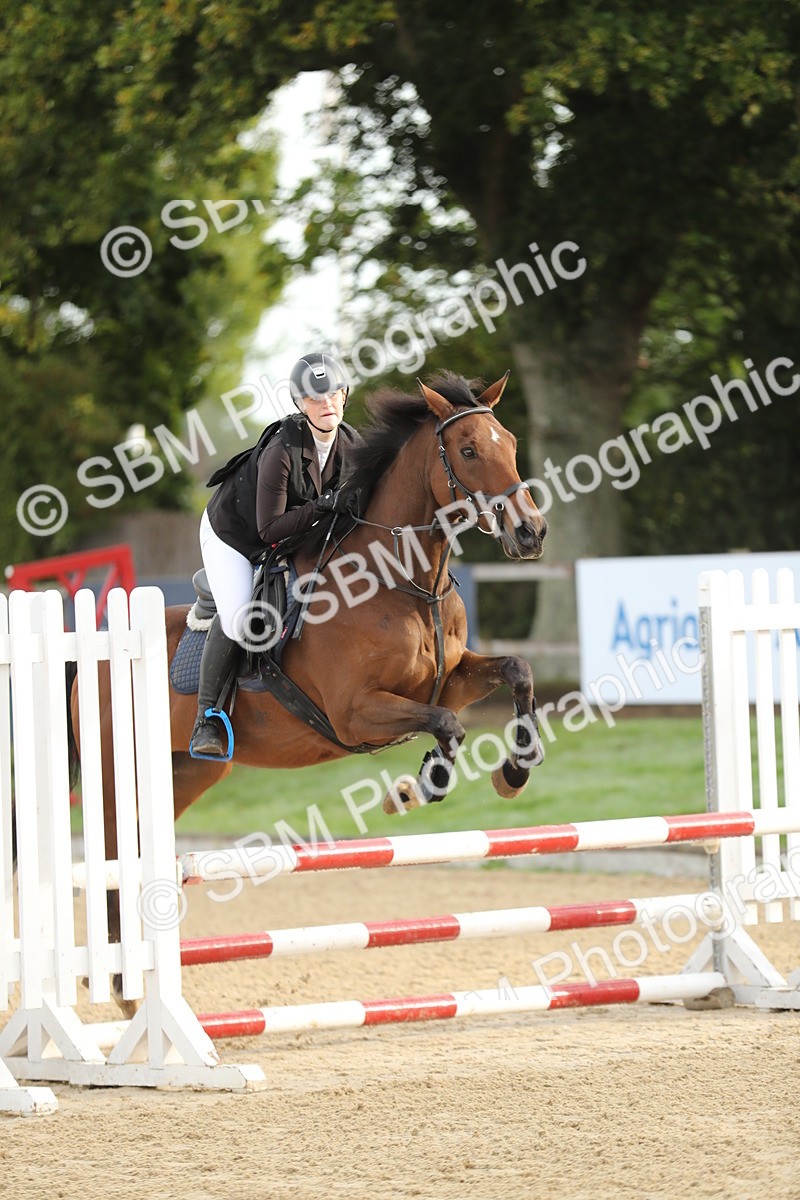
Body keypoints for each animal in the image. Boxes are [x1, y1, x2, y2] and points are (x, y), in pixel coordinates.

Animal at [68, 369, 548, 1013]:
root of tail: (92, 654)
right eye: (469, 451)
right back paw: (126, 993)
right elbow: (448, 728)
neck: (401, 579)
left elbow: (515, 671)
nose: (530, 532)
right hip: (118, 781)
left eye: (512, 444)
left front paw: (514, 771)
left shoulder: (448, 682)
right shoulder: (355, 713)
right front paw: (418, 787)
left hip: (184, 774)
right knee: (113, 867)